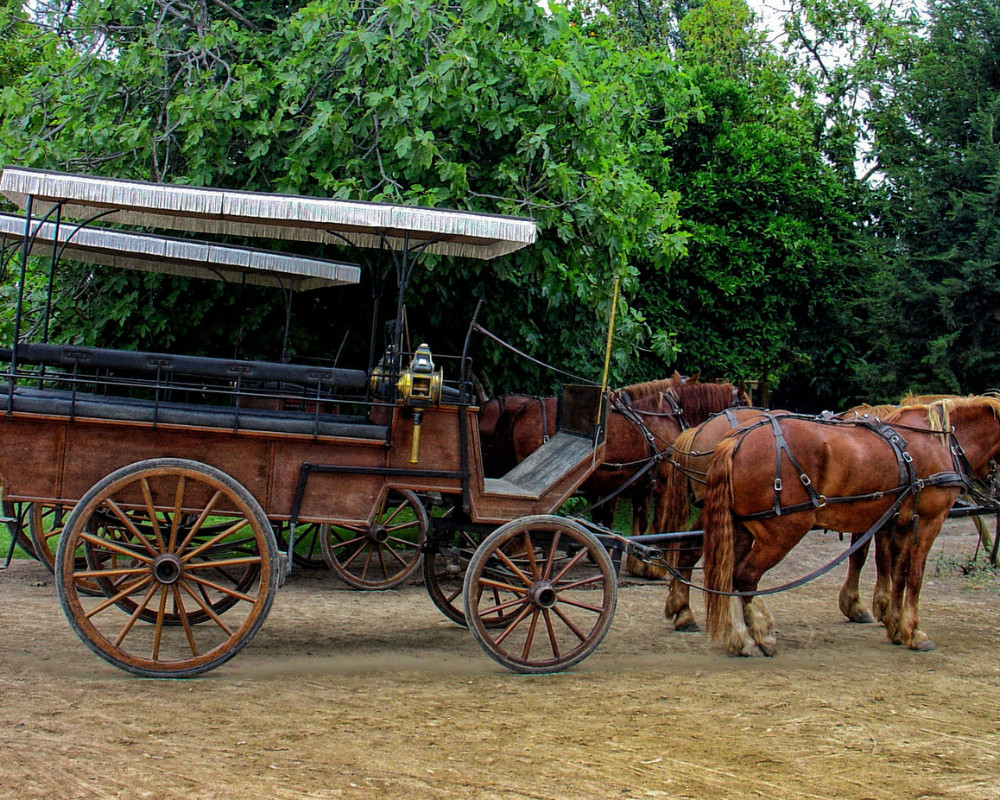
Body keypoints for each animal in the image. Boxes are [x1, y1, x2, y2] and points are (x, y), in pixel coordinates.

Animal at [704, 398, 1000, 656]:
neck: (938, 442)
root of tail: (736, 439)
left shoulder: (901, 523)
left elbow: (899, 574)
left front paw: (896, 627)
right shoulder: (929, 520)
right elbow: (914, 575)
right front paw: (915, 633)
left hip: (742, 530)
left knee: (728, 577)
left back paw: (741, 639)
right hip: (782, 532)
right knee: (745, 577)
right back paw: (760, 632)